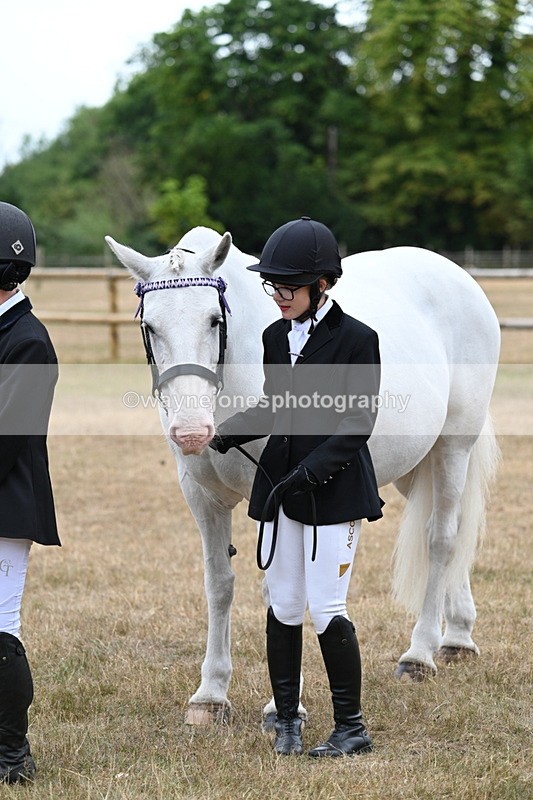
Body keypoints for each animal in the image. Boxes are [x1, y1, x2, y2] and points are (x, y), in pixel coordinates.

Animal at [105, 227, 501, 725]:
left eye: (214, 320)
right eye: (151, 326)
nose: (192, 431)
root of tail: (458, 276)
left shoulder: (277, 496)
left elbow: (281, 590)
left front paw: (282, 706)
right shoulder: (203, 498)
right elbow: (219, 585)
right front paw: (210, 696)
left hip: (453, 447)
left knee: (442, 538)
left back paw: (421, 653)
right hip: (414, 466)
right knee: (454, 532)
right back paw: (458, 637)